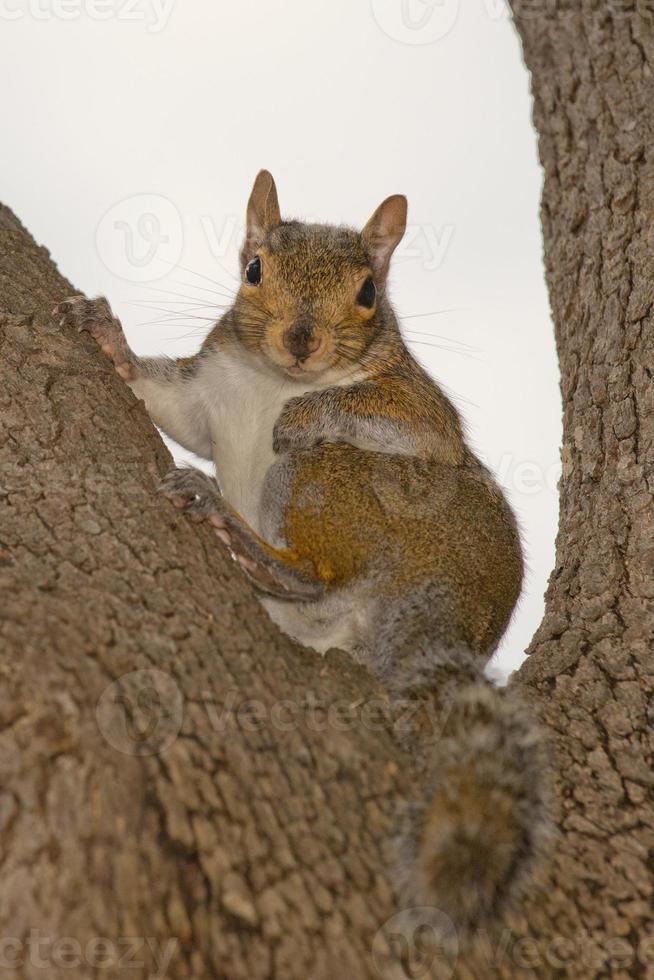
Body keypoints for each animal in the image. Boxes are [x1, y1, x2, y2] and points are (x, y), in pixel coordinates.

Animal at [56, 172, 552, 936]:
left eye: (369, 291)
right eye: (254, 269)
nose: (301, 340)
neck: (275, 381)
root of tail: (446, 609)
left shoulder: (422, 413)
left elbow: (403, 423)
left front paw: (305, 414)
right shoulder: (205, 394)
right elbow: (169, 406)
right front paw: (107, 336)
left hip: (337, 483)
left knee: (317, 573)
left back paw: (235, 528)